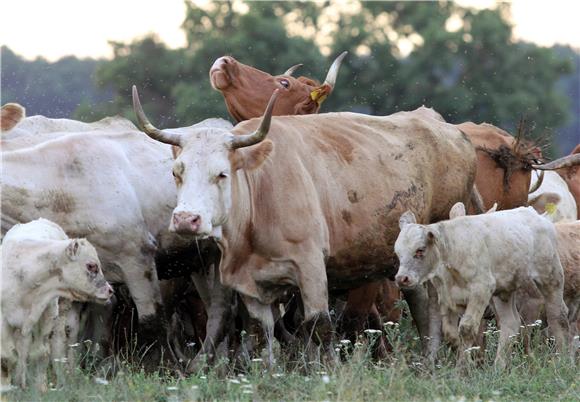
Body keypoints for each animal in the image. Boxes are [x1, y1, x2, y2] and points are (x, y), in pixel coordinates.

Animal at [1, 218, 112, 388]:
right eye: (91, 265)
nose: (110, 290)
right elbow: (6, 357)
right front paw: (6, 387)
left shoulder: (47, 315)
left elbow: (41, 353)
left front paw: (40, 388)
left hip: (61, 313)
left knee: (58, 346)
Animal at [133, 86, 480, 362]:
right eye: (177, 171)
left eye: (222, 173)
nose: (186, 220)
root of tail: (450, 130)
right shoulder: (249, 282)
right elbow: (260, 331)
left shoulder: (311, 265)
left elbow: (318, 325)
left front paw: (330, 370)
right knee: (420, 302)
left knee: (435, 306)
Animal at [394, 204, 572, 368]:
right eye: (398, 252)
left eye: (420, 250)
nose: (402, 278)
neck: (453, 251)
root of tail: (535, 213)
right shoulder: (445, 296)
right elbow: (449, 332)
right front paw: (466, 357)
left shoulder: (481, 289)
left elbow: (466, 328)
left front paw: (462, 368)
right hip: (503, 290)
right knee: (510, 323)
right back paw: (499, 367)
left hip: (550, 275)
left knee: (558, 314)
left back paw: (563, 359)